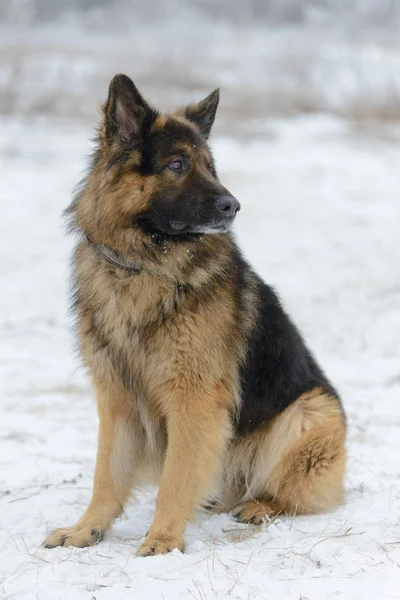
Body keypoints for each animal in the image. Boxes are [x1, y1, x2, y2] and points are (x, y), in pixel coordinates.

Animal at [43, 75, 344, 556]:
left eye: (210, 166)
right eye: (178, 165)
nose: (233, 205)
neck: (143, 266)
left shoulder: (194, 398)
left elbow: (176, 477)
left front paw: (162, 540)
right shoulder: (117, 398)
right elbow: (105, 473)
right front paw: (87, 528)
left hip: (308, 413)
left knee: (289, 493)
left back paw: (260, 506)